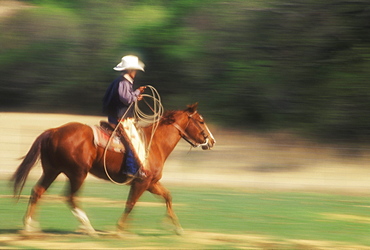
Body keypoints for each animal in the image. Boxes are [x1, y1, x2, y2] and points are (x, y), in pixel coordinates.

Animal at [11, 102, 215, 235]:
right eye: (201, 121)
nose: (212, 141)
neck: (154, 143)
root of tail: (53, 131)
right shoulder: (142, 182)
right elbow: (130, 204)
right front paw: (119, 229)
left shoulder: (151, 183)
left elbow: (167, 196)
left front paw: (176, 227)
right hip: (77, 173)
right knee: (70, 197)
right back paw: (88, 227)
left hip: (52, 170)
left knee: (38, 191)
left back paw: (29, 226)